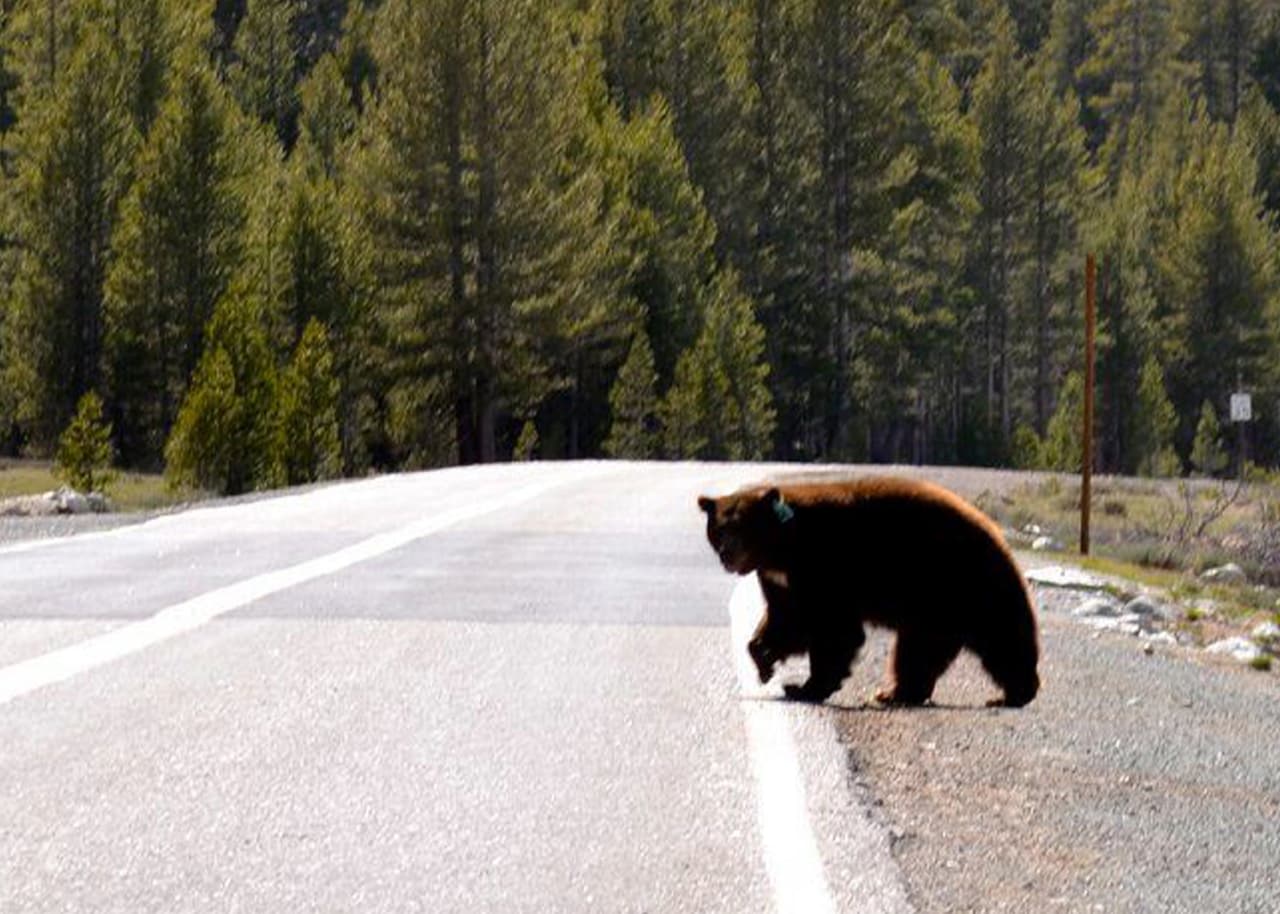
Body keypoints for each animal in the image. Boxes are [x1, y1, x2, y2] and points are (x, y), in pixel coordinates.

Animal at [698, 477, 1040, 708]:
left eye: (742, 527)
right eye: (719, 529)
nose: (727, 554)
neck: (783, 547)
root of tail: (996, 534)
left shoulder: (822, 566)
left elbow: (833, 629)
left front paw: (807, 686)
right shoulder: (780, 580)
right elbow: (786, 620)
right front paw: (764, 661)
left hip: (960, 584)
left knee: (1000, 637)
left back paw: (1014, 692)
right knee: (919, 651)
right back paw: (898, 692)